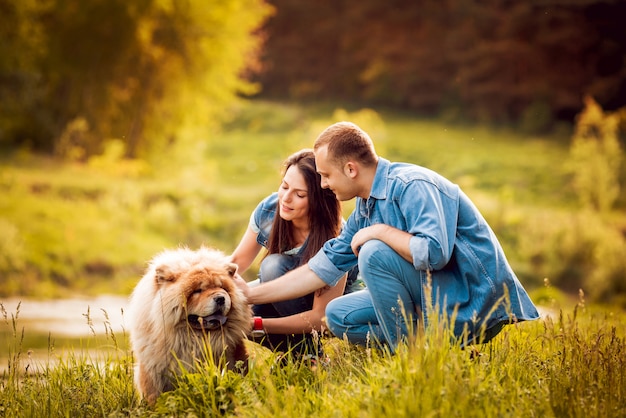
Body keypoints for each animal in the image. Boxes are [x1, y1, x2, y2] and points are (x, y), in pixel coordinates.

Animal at [127, 247, 251, 404]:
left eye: (221, 287)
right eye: (197, 291)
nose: (221, 298)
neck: (192, 340)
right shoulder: (152, 372)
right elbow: (153, 396)